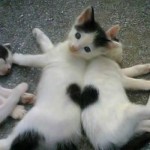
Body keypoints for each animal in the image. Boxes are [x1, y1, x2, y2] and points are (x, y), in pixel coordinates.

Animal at [68, 6, 150, 150]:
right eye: (120, 48)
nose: (121, 59)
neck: (102, 57)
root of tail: (103, 144)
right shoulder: (122, 78)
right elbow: (138, 81)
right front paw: (148, 82)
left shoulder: (121, 72)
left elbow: (135, 69)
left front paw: (146, 67)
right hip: (130, 113)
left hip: (136, 126)